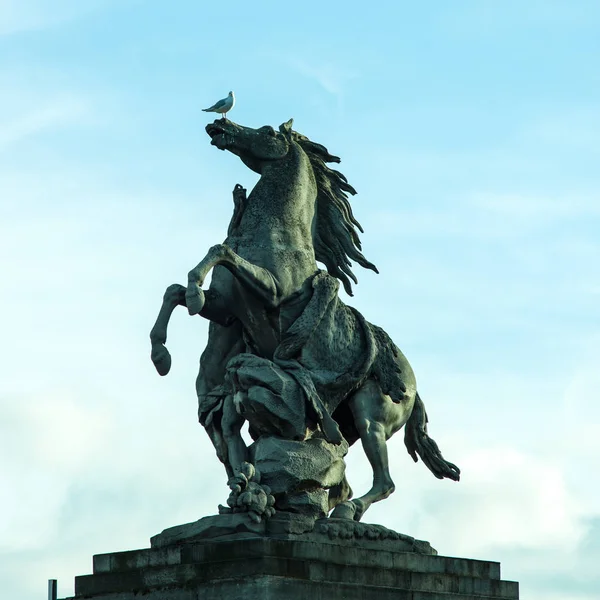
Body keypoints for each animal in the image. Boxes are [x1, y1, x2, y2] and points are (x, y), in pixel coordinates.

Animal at [151, 117, 460, 520]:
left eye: (268, 131)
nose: (219, 123)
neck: (278, 232)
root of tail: (413, 383)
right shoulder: (226, 308)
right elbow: (174, 290)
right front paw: (161, 354)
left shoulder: (271, 290)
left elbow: (219, 252)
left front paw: (192, 293)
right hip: (345, 420)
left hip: (370, 417)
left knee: (385, 481)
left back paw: (344, 511)